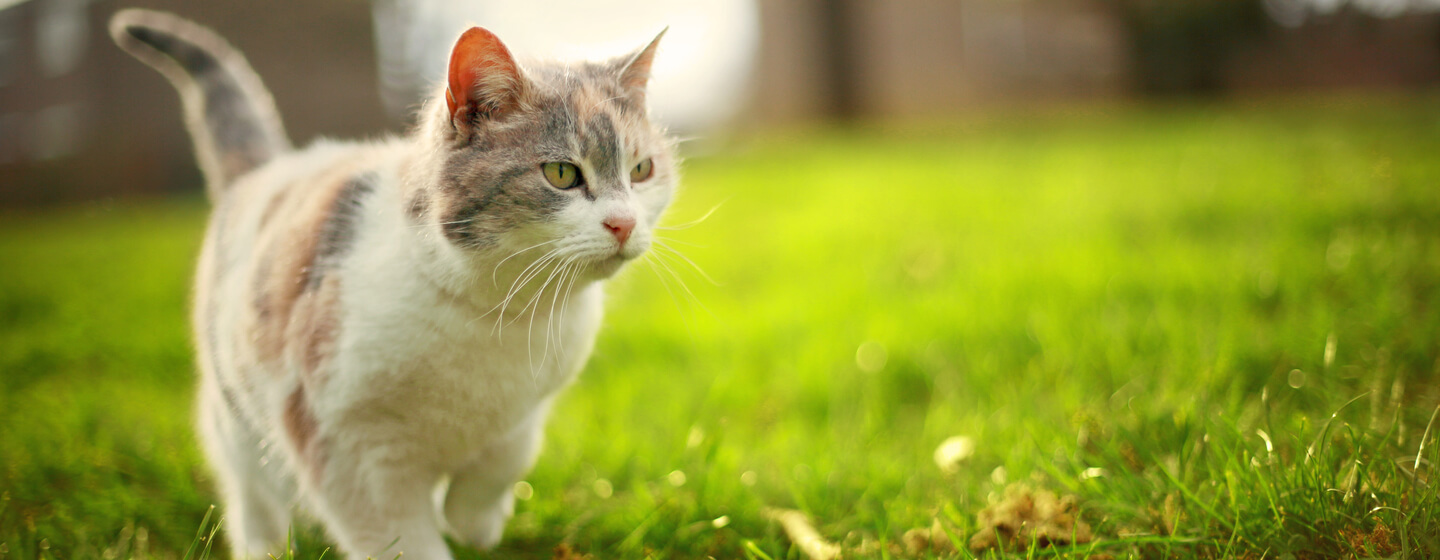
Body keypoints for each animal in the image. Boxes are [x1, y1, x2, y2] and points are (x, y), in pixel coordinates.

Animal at [109, 9, 676, 558]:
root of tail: (276, 165)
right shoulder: (344, 441)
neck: (494, 316)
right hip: (236, 409)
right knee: (251, 489)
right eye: (561, 174)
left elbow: (505, 460)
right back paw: (262, 545)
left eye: (642, 170)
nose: (624, 223)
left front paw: (476, 521)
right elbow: (399, 537)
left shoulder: (528, 408)